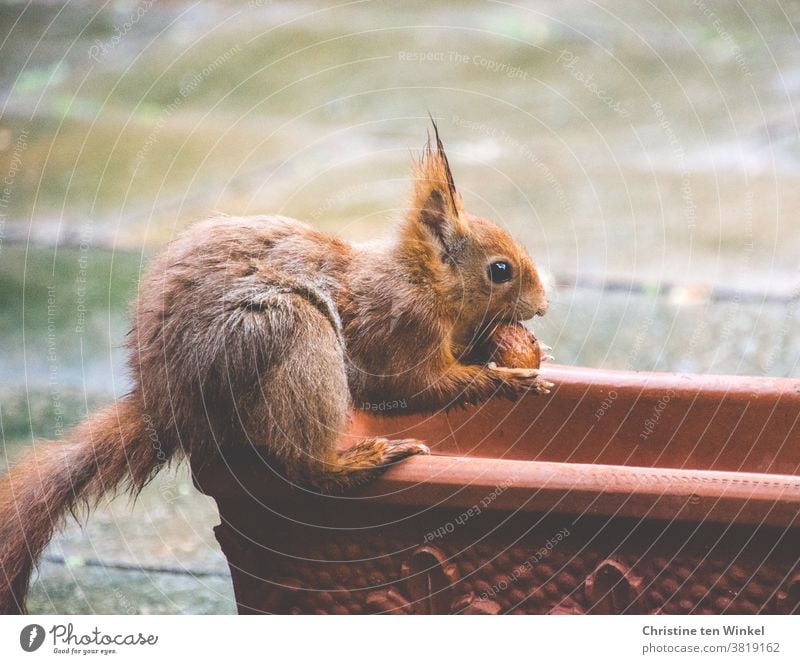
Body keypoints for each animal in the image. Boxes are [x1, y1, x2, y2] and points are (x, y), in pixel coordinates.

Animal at [0, 122, 552, 616]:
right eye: (500, 270)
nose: (543, 306)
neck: (424, 282)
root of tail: (165, 403)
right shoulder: (401, 333)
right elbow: (417, 386)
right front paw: (508, 377)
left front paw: (526, 353)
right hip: (288, 338)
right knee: (304, 466)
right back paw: (361, 461)